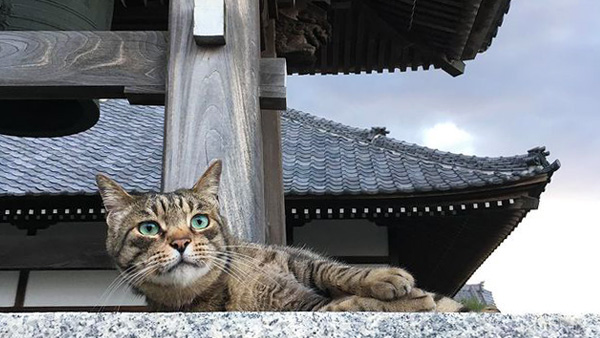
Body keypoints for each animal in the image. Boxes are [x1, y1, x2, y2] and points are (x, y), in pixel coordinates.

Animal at [96, 160, 466, 312]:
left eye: (199, 221)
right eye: (149, 228)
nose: (181, 242)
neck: (229, 284)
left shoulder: (298, 259)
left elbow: (341, 271)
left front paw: (385, 277)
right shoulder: (296, 306)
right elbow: (338, 305)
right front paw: (407, 300)